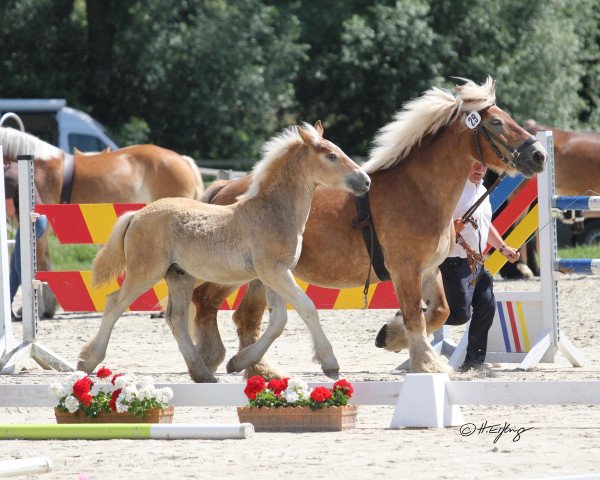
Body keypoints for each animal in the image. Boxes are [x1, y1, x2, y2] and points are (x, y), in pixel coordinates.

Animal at [190, 78, 548, 378]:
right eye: (496, 122)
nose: (539, 155)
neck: (419, 192)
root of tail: (225, 187)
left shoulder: (427, 270)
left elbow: (440, 312)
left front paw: (390, 336)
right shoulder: (405, 269)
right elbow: (416, 315)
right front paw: (426, 363)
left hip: (262, 277)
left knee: (245, 317)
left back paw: (255, 367)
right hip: (235, 273)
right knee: (205, 301)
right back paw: (217, 359)